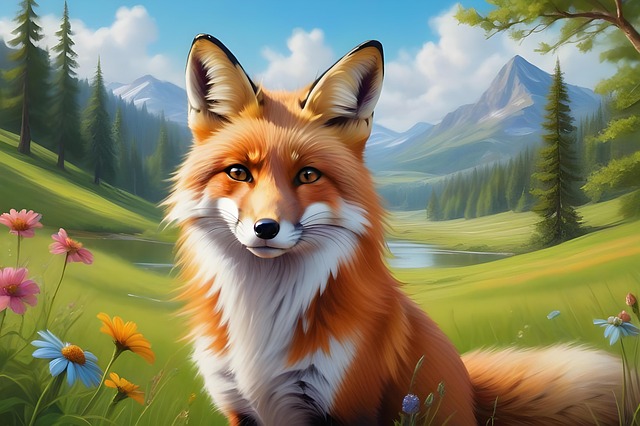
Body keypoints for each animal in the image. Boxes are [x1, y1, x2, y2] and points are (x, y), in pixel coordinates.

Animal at [165, 34, 631, 425]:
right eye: (238, 172)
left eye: (308, 175)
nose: (265, 228)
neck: (262, 322)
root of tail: (470, 388)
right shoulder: (240, 408)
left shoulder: (347, 406)